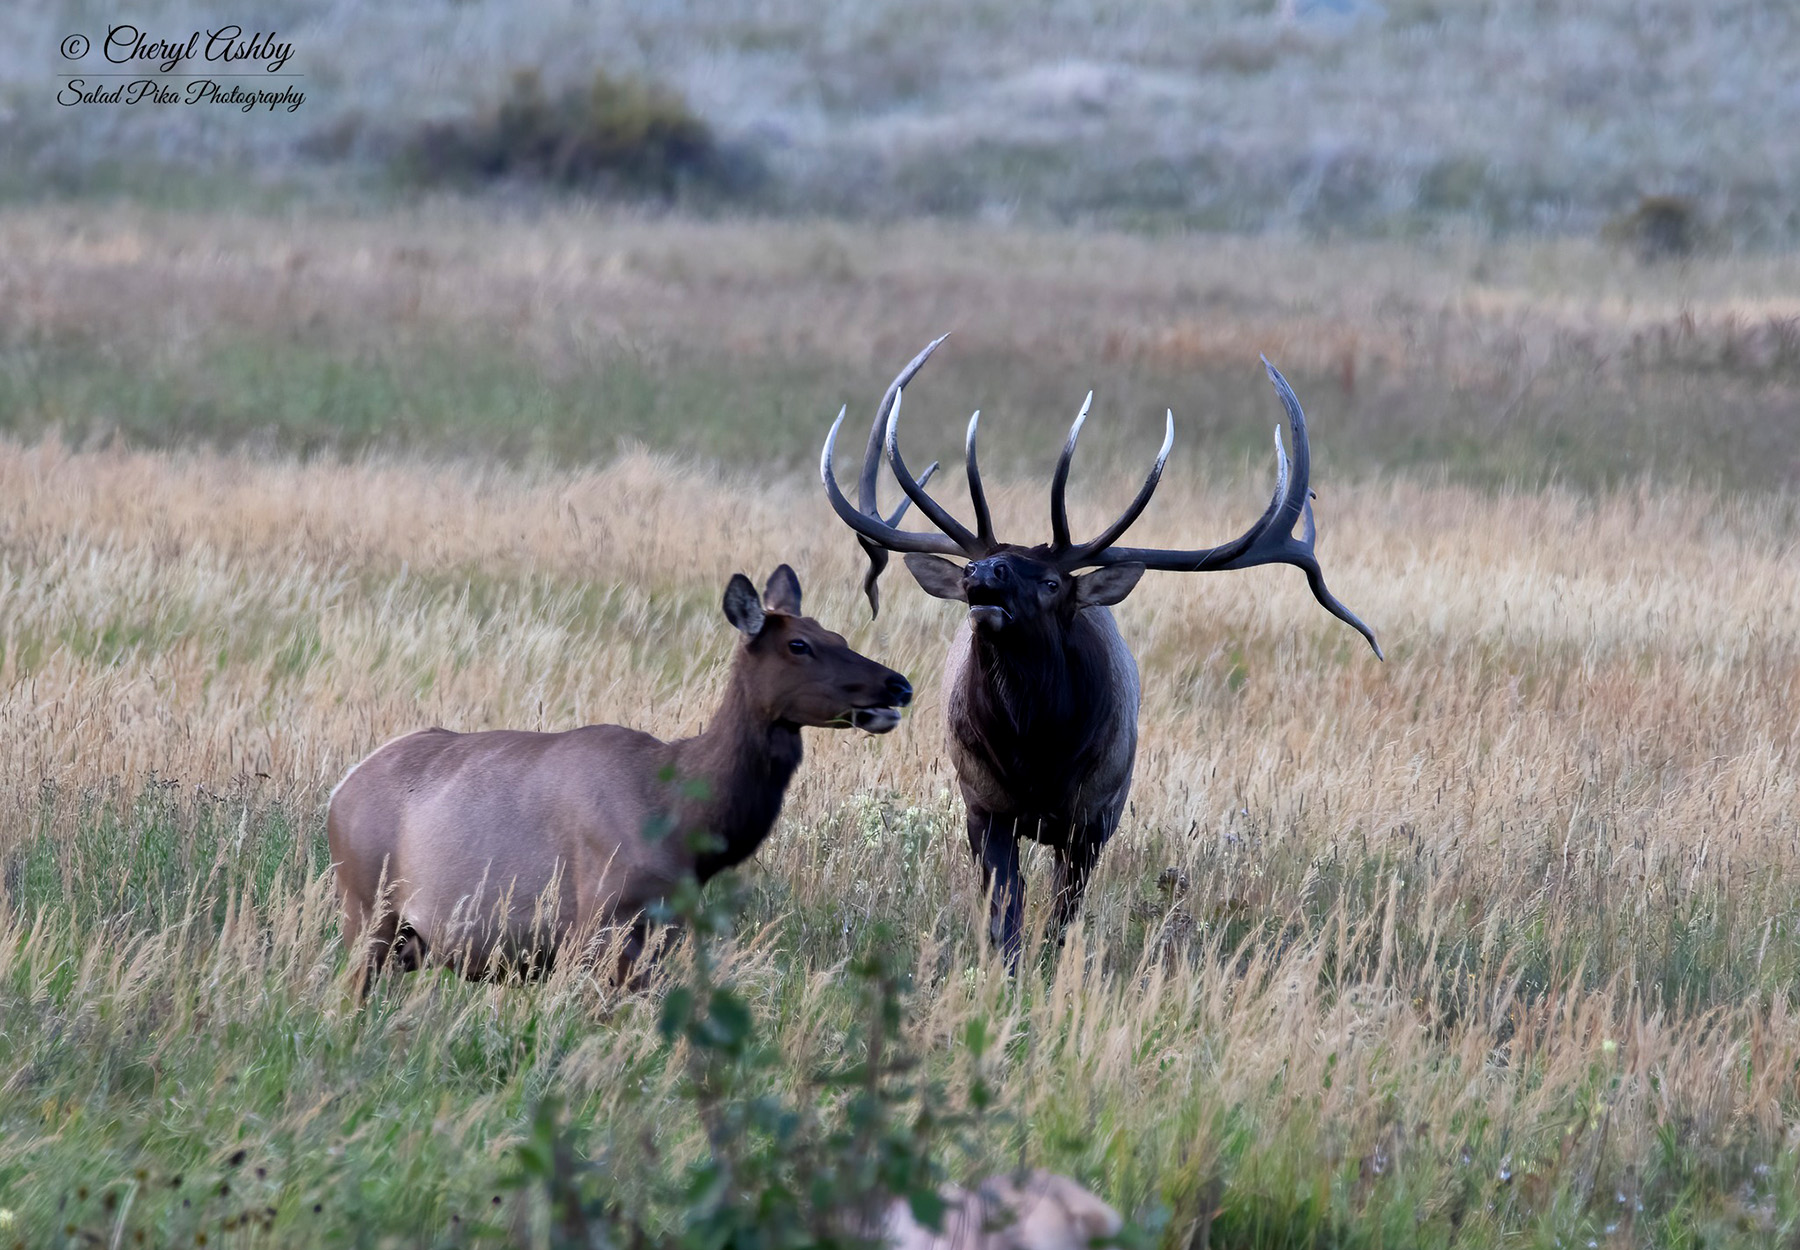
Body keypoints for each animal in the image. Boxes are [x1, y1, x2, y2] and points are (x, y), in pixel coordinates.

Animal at [326, 566, 914, 993]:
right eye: (798, 645)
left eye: (838, 633)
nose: (898, 685)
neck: (682, 819)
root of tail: (341, 789)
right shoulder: (602, 922)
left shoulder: (663, 930)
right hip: (366, 907)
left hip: (406, 938)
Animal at [821, 338, 1380, 965]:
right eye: (975, 569)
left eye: (1051, 583)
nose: (981, 573)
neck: (1037, 754)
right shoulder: (983, 804)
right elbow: (1006, 909)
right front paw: (1006, 971)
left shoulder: (1095, 815)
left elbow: (1064, 914)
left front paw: (1048, 966)